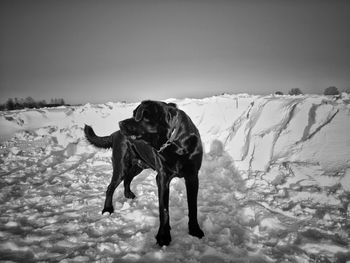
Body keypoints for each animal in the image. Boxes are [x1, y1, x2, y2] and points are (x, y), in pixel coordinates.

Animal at [84, 101, 204, 248]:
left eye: (139, 115)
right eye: (133, 113)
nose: (120, 123)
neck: (175, 142)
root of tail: (114, 134)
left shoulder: (192, 176)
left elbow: (193, 207)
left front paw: (195, 230)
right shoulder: (162, 178)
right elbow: (164, 210)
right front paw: (163, 237)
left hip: (138, 166)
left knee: (127, 179)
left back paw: (128, 194)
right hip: (121, 166)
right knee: (110, 187)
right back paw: (107, 209)